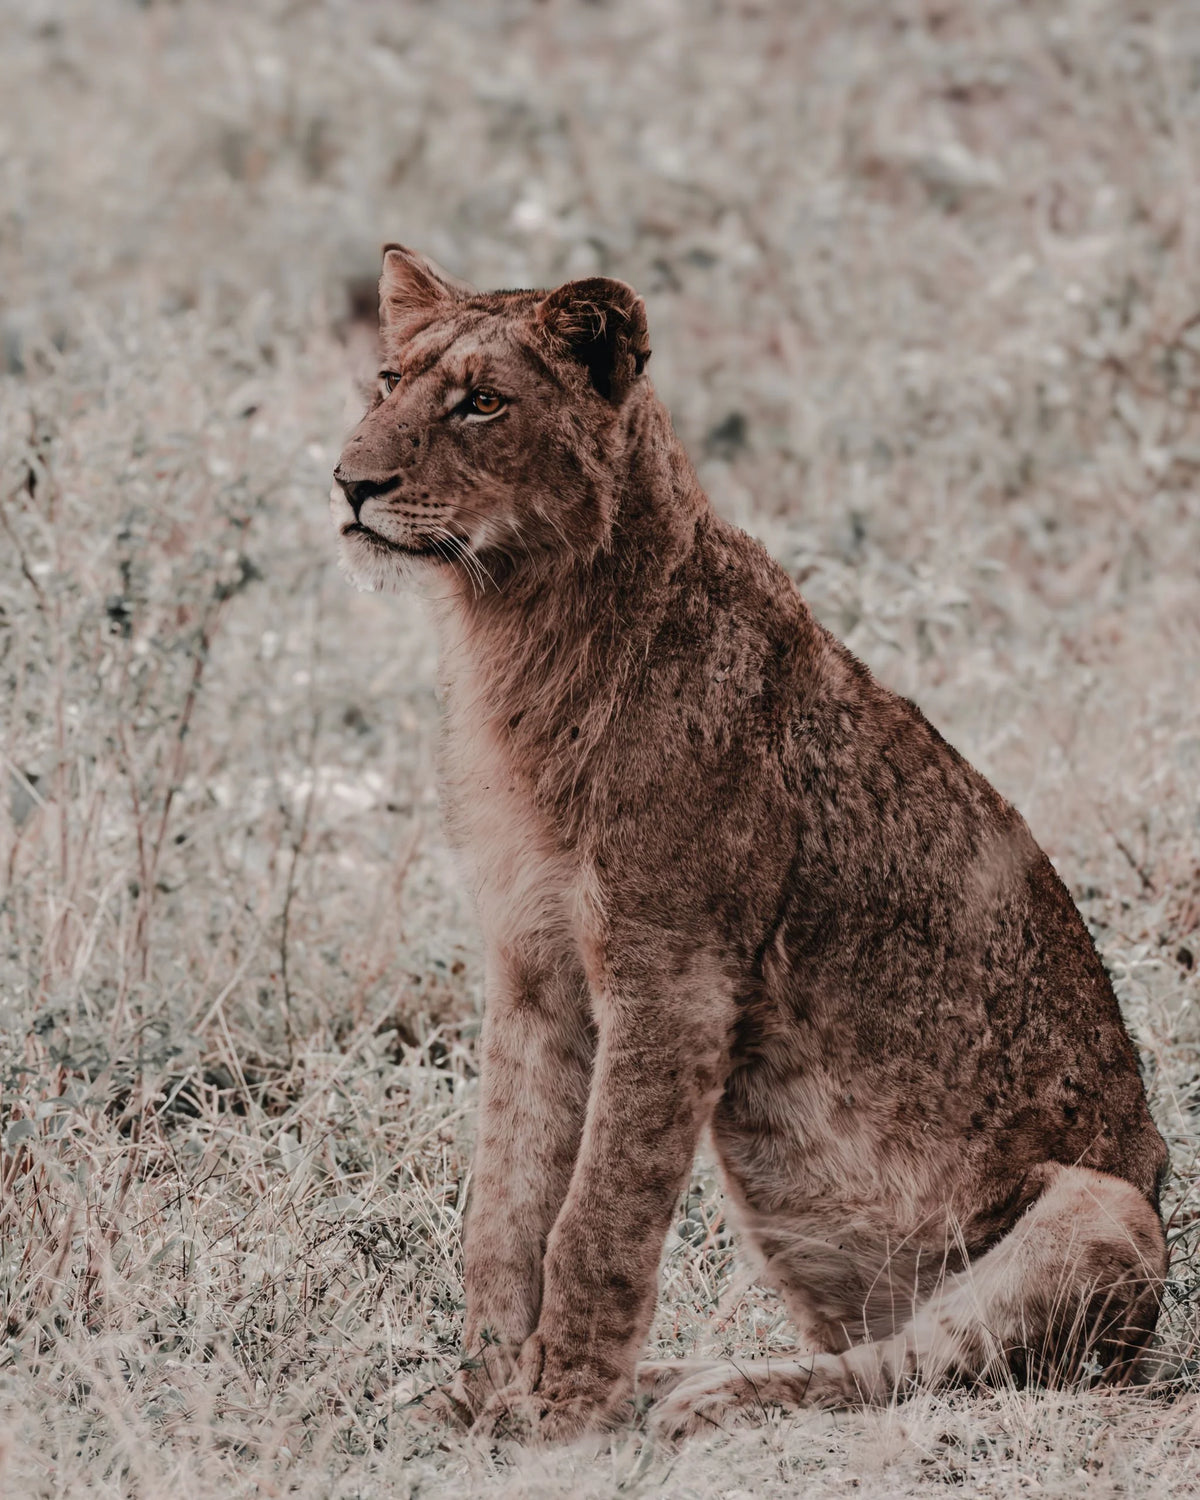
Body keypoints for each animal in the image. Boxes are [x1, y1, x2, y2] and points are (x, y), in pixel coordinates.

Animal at [331, 245, 1168, 1443]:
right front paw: (481, 1395)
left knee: (913, 1369)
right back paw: (664, 1384)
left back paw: (711, 1396)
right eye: (386, 380)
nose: (349, 484)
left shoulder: (673, 976)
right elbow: (506, 1207)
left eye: (482, 403)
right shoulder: (531, 969)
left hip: (1110, 1209)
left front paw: (559, 1411)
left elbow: (598, 1215)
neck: (522, 632)